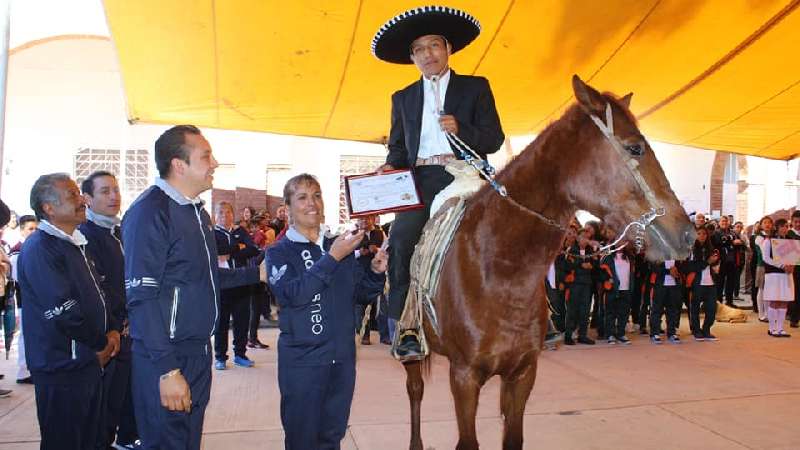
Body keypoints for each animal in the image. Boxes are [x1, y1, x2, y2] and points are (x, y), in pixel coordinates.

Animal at [404, 75, 696, 448]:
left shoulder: (522, 373)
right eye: (635, 148)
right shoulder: (464, 376)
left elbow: (513, 438)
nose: (688, 234)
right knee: (415, 390)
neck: (499, 268)